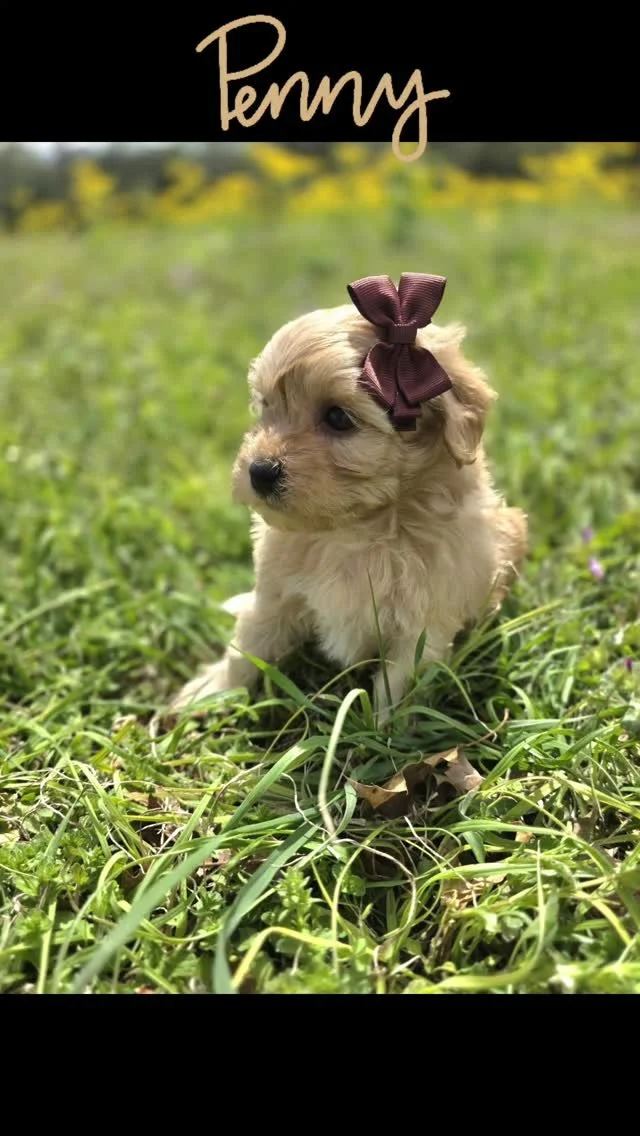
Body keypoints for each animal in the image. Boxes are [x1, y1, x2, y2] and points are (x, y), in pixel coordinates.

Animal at [171, 273, 527, 723]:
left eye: (338, 417)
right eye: (266, 407)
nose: (259, 471)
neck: (357, 529)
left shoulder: (424, 624)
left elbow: (398, 684)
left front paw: (383, 733)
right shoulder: (274, 592)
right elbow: (247, 646)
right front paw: (211, 691)